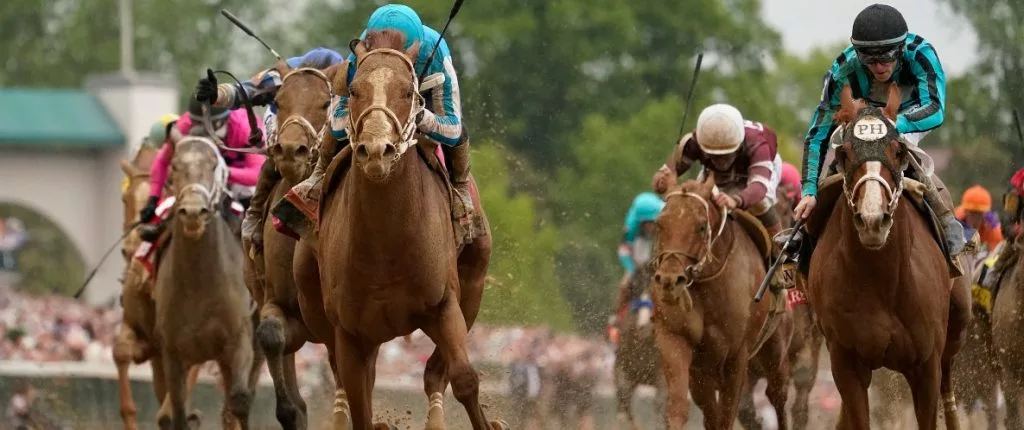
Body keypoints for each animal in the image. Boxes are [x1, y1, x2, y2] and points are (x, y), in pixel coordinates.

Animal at [152, 135, 261, 430]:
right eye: (174, 166)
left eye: (214, 166)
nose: (192, 212)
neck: (198, 284)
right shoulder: (174, 354)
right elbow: (177, 414)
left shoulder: (238, 342)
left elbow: (240, 401)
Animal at [314, 30, 500, 430]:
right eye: (354, 90)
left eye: (407, 91)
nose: (376, 151)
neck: (387, 246)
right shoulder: (349, 335)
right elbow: (359, 405)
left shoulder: (444, 306)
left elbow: (464, 378)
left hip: (472, 288)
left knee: (436, 373)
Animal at [613, 263, 666, 430]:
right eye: (635, 289)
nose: (644, 326)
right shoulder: (622, 369)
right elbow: (624, 401)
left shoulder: (662, 374)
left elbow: (660, 403)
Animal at [650, 174, 777, 430]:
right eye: (660, 224)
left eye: (701, 226)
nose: (669, 280)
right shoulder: (677, 340)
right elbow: (680, 408)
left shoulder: (737, 356)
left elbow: (726, 415)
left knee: (780, 397)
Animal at [801, 82, 970, 429]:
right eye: (844, 153)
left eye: (898, 151)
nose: (872, 220)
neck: (882, 280)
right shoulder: (845, 364)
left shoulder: (926, 366)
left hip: (956, 326)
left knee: (949, 380)